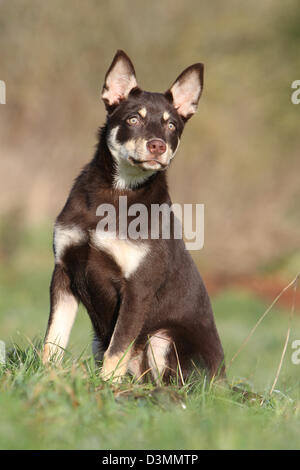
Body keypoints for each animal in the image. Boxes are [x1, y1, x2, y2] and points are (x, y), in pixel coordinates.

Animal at [42, 49, 225, 384]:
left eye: (171, 125)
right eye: (133, 119)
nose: (157, 146)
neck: (118, 192)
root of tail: (225, 382)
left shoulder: (137, 289)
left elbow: (118, 349)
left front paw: (105, 388)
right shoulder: (64, 271)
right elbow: (54, 339)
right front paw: (47, 376)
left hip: (163, 337)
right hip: (101, 339)